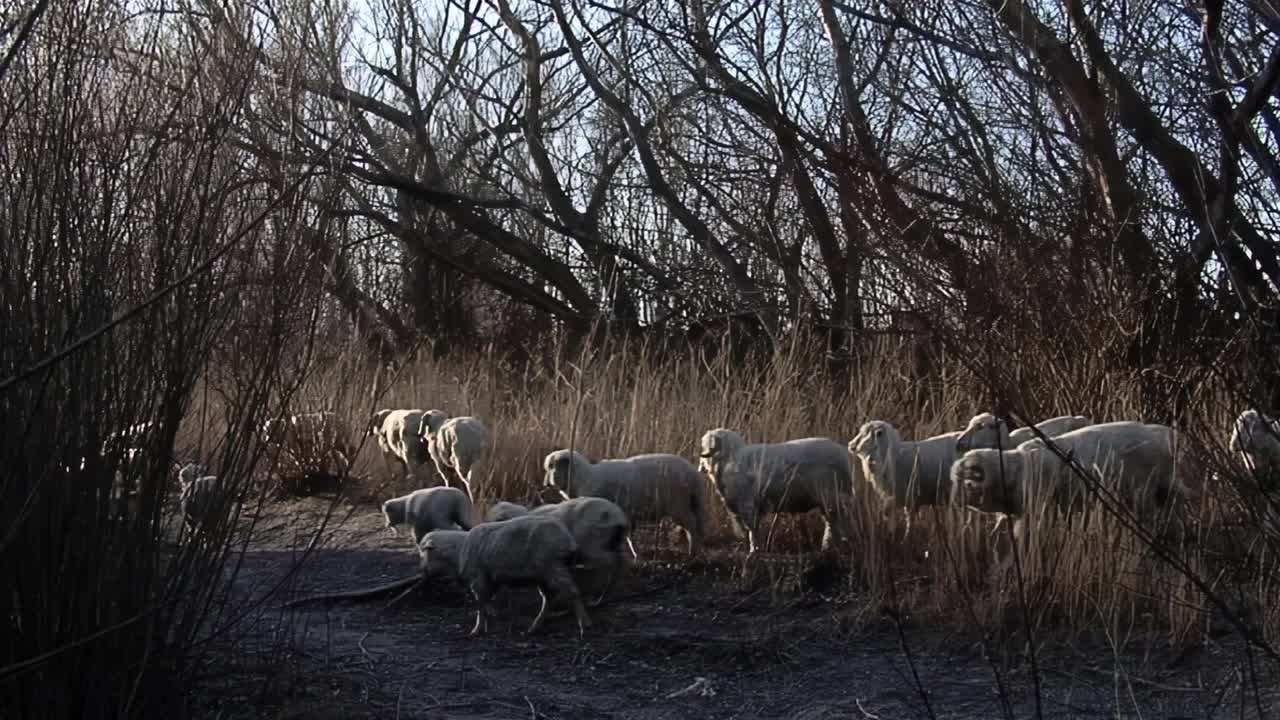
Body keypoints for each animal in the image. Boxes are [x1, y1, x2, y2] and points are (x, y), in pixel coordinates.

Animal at [453, 509, 591, 632]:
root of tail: (569, 540)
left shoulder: (478, 577)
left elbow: (481, 604)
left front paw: (476, 630)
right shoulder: (490, 579)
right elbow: (485, 601)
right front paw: (486, 625)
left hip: (553, 567)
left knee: (572, 592)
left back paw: (584, 626)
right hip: (543, 574)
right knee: (548, 599)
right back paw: (533, 628)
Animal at [542, 448, 711, 556]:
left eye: (551, 467)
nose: (545, 484)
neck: (583, 477)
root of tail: (693, 474)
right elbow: (628, 534)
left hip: (678, 505)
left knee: (692, 526)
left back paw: (692, 552)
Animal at [696, 427, 855, 550]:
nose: (701, 468)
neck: (730, 458)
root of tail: (844, 456)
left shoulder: (747, 504)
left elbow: (752, 530)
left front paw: (754, 550)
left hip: (831, 497)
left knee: (836, 523)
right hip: (828, 501)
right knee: (832, 523)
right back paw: (829, 547)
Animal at [952, 420, 1198, 543]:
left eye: (968, 480)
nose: (955, 500)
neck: (1017, 468)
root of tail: (1168, 435)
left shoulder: (1038, 509)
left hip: (1145, 493)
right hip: (1160, 491)